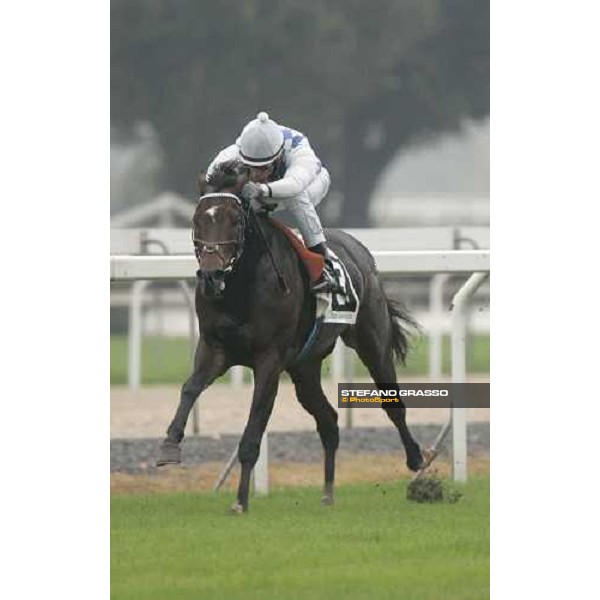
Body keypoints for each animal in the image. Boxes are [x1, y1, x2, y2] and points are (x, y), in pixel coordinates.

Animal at [157, 163, 424, 510]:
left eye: (235, 220)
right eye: (197, 220)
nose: (212, 275)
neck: (240, 289)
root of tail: (360, 250)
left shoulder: (269, 360)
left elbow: (254, 428)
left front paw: (240, 500)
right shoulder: (214, 348)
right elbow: (189, 389)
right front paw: (169, 445)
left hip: (371, 342)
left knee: (393, 404)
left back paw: (417, 461)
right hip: (304, 367)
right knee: (329, 420)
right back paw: (327, 492)